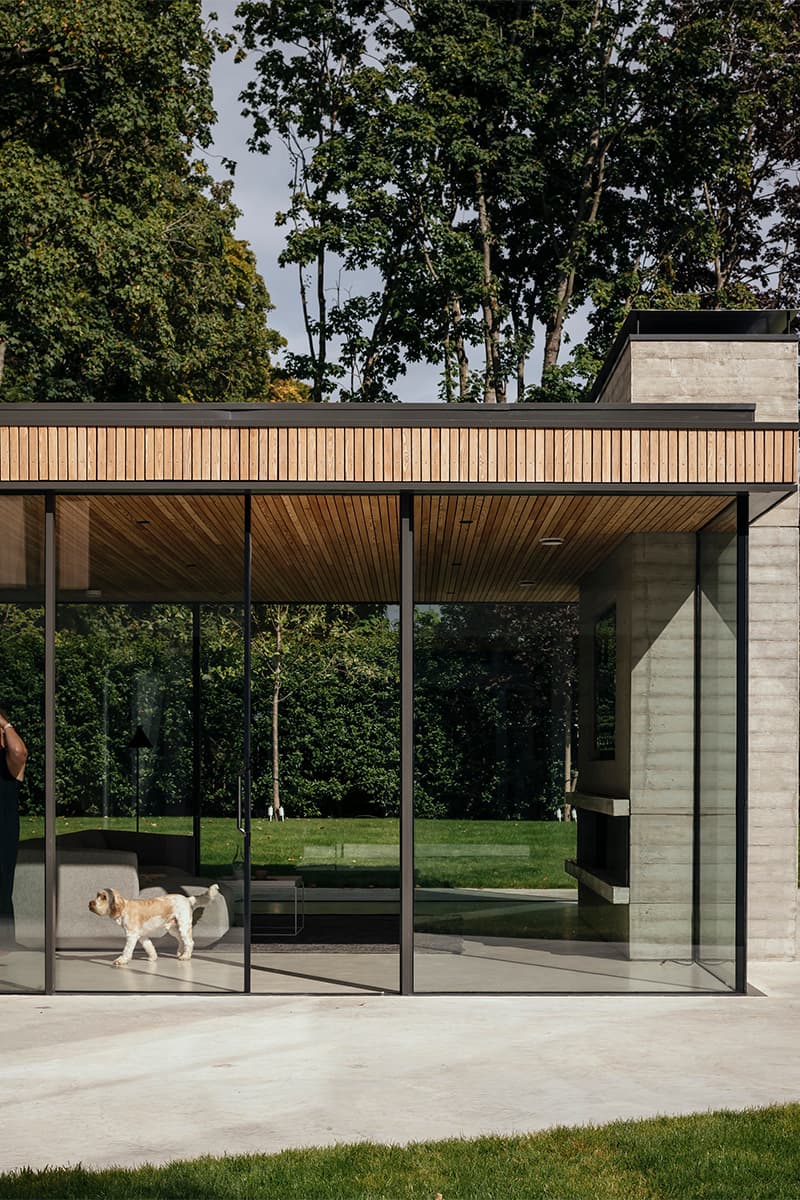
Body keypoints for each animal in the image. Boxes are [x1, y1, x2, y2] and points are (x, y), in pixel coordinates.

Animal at [88, 888, 219, 969]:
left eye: (104, 897)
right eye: (97, 895)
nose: (90, 903)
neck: (124, 908)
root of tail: (187, 899)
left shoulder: (132, 935)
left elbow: (127, 950)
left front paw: (121, 961)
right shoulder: (142, 936)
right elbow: (149, 946)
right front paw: (153, 958)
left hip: (183, 926)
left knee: (190, 942)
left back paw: (185, 956)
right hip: (173, 929)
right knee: (182, 940)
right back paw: (180, 953)